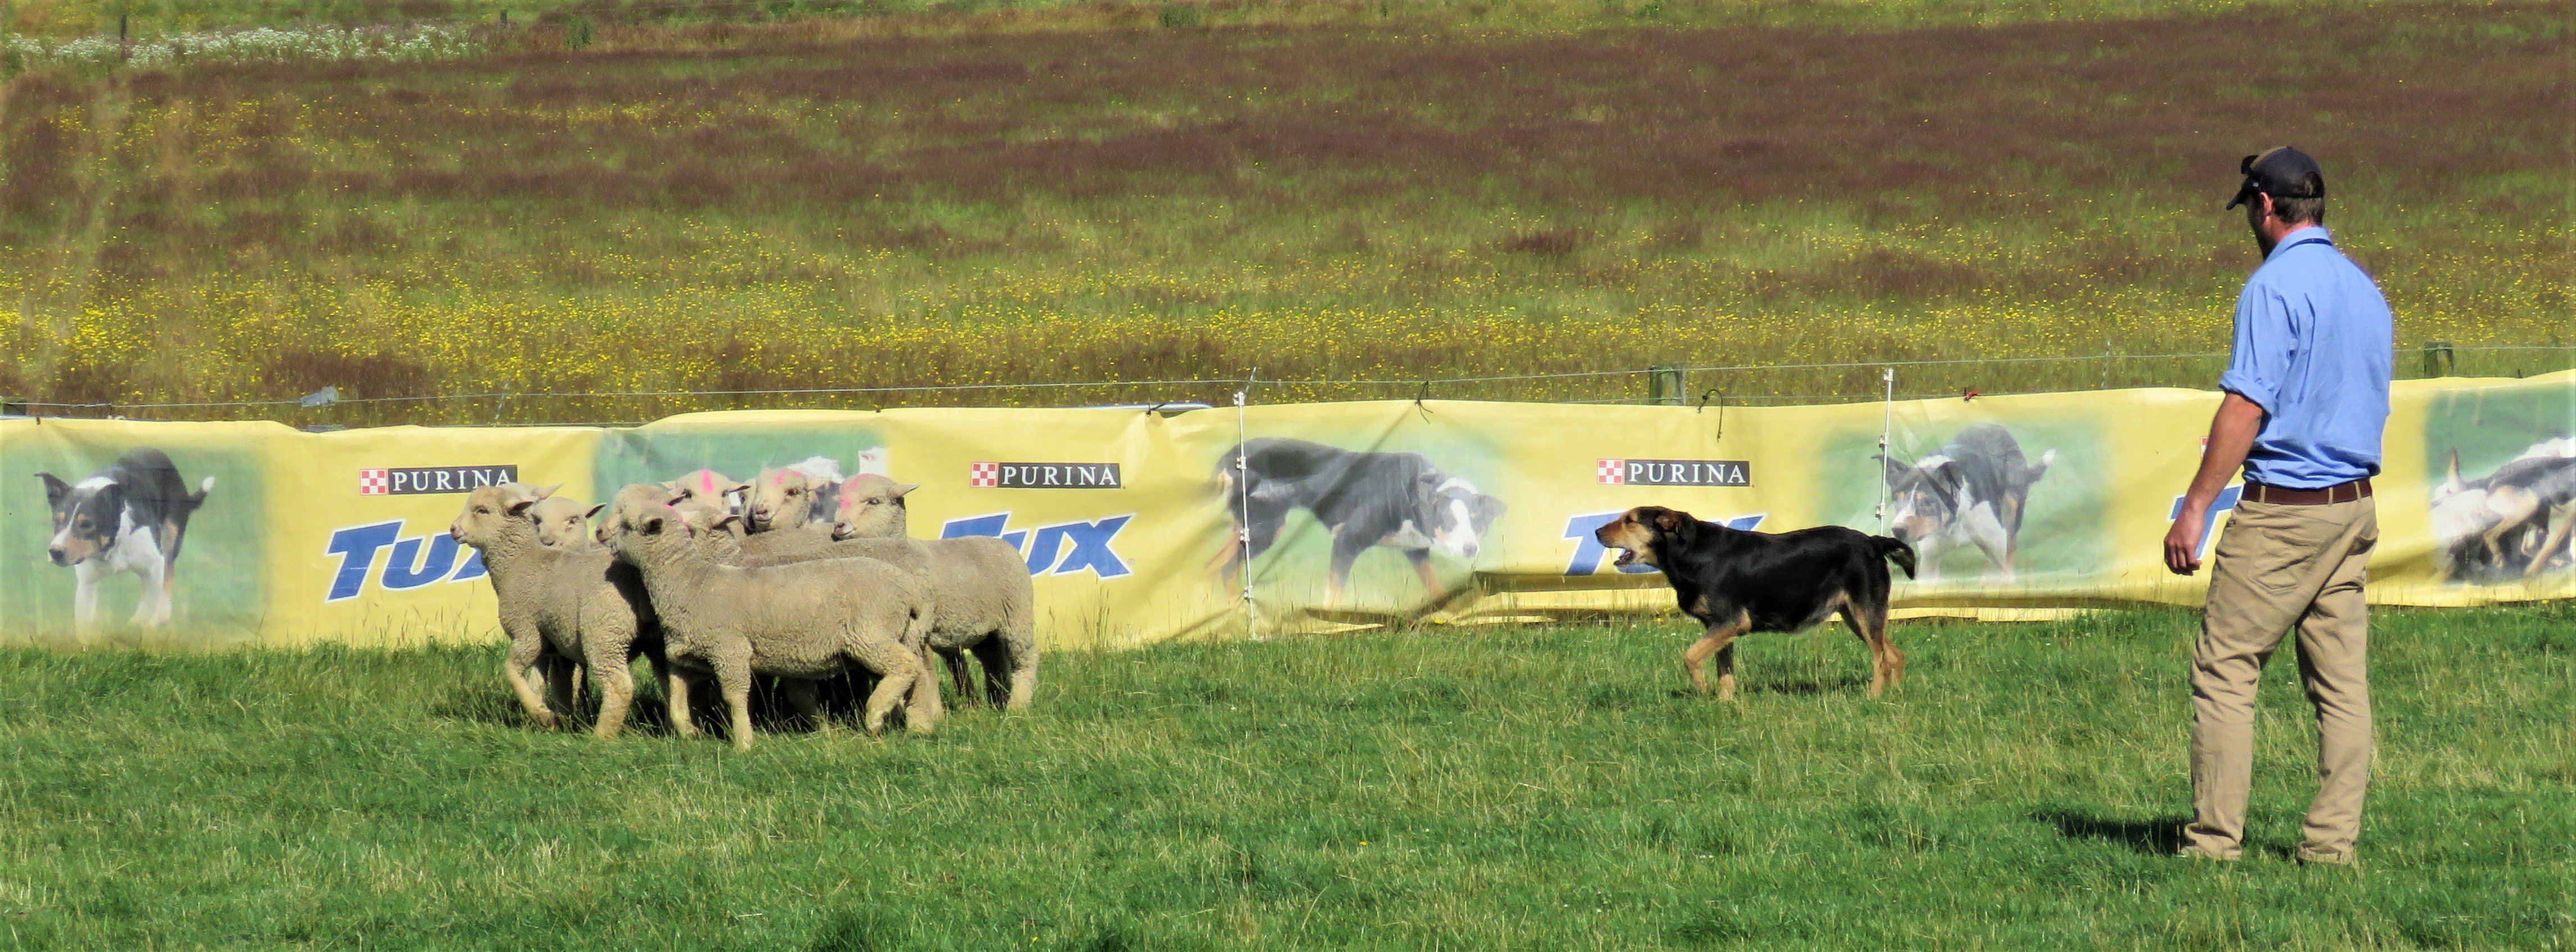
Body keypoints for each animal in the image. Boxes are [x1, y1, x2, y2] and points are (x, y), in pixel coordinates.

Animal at [450, 484, 665, 736]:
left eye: (482, 510)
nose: (453, 529)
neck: (519, 563)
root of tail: (638, 580)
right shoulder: (555, 648)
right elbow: (552, 686)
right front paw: (555, 722)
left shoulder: (527, 633)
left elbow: (511, 671)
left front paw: (543, 715)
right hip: (659, 640)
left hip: (605, 634)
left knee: (618, 685)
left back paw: (602, 736)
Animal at [834, 473, 1035, 710]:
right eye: (839, 501)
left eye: (873, 502)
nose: (839, 525)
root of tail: (1002, 543)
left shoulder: (921, 627)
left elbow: (927, 673)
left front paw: (933, 712)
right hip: (985, 630)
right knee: (994, 660)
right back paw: (997, 701)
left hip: (1017, 614)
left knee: (1026, 657)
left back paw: (1018, 705)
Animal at [1597, 507, 1927, 700]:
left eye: (1630, 521)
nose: (1597, 532)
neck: (1690, 551)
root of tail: (1873, 541)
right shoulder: (1720, 628)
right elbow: (1725, 671)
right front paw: (1724, 703)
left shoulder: (1732, 622)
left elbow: (1690, 656)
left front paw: (1702, 688)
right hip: (1857, 616)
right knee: (1895, 655)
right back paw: (1894, 696)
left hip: (1864, 612)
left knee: (1880, 660)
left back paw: (1873, 697)